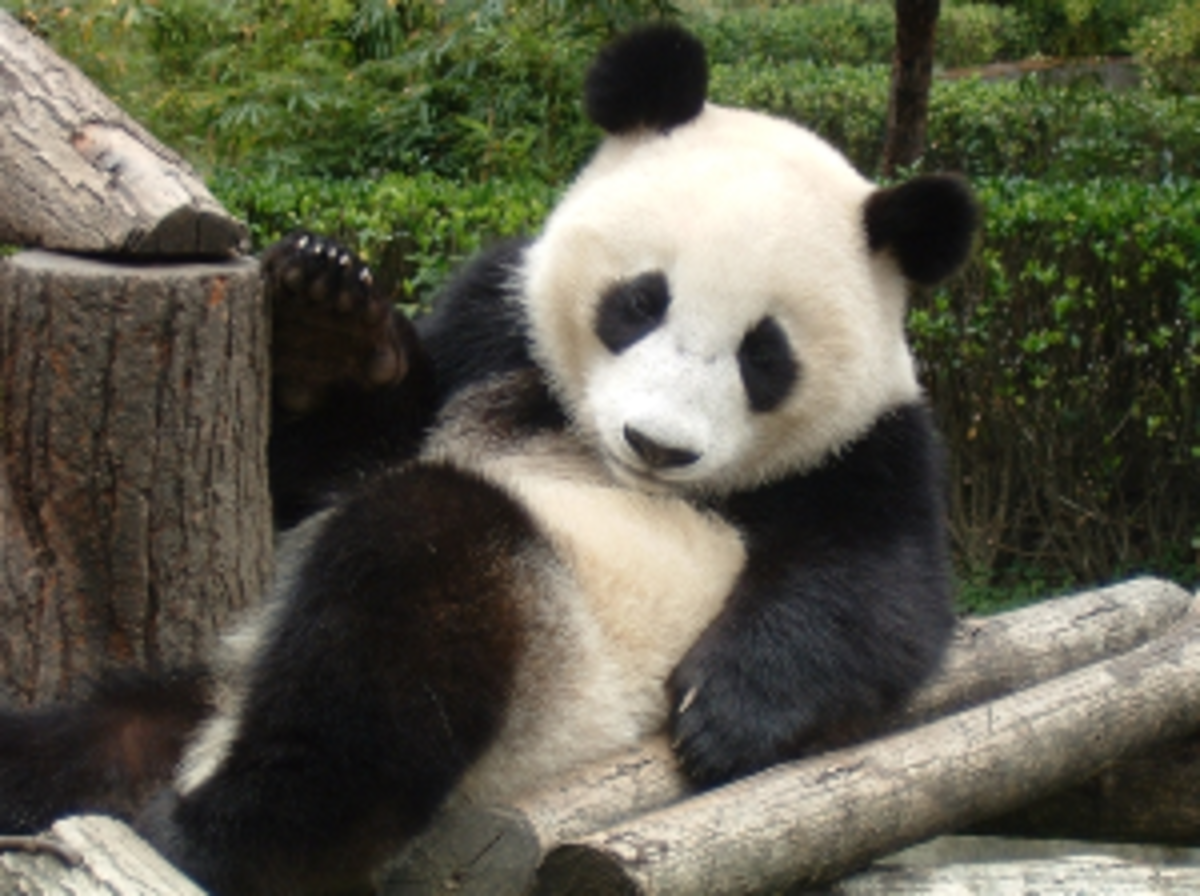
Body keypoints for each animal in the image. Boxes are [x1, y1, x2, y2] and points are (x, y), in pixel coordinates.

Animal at [0, 24, 977, 896]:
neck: (585, 439)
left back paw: (212, 839)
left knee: (407, 591)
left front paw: (726, 713)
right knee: (99, 733)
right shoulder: (493, 326)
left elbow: (880, 593)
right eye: (639, 301)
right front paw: (324, 321)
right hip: (223, 674)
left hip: (552, 688)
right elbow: (333, 463)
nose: (657, 446)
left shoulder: (875, 443)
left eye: (764, 354)